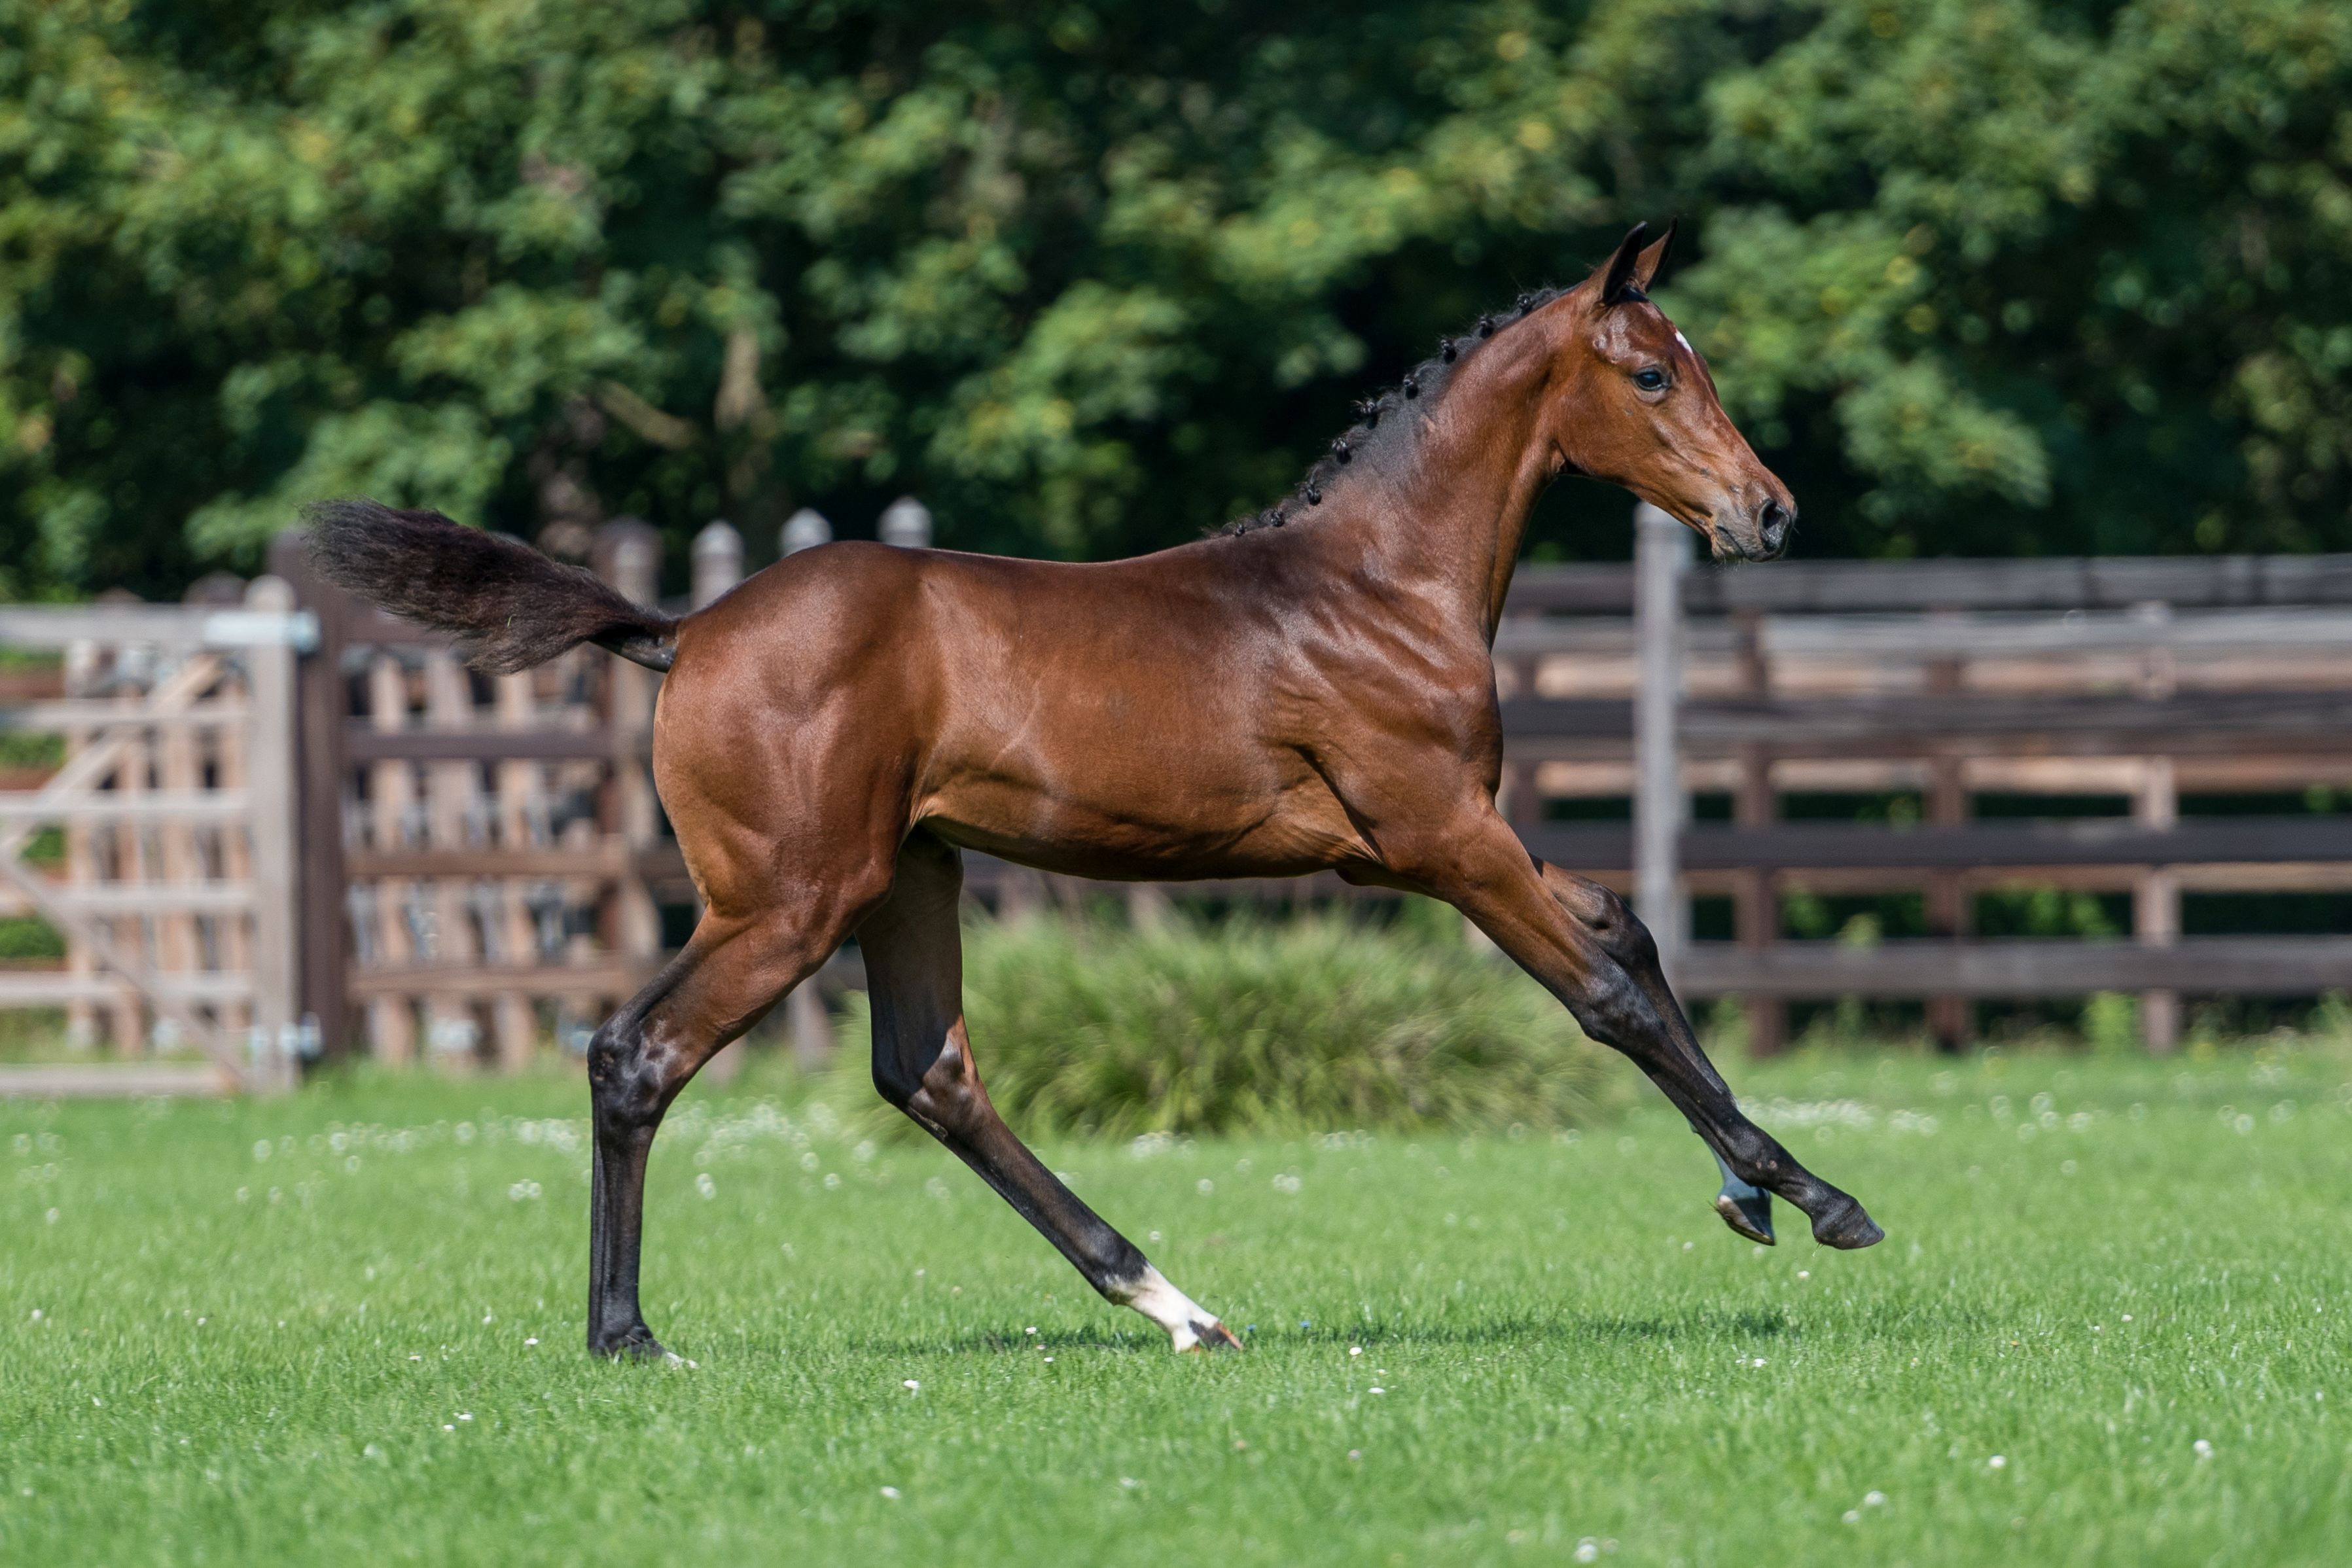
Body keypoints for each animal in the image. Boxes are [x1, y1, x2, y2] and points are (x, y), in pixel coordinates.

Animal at [312, 221, 1881, 1362]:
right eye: (1654, 375)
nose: (1769, 510)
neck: (1377, 585)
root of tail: (685, 630)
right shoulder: (1437, 835)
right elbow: (1602, 992)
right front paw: (1820, 1199)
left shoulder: (1426, 842)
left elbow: (1625, 927)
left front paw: (1749, 1194)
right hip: (787, 900)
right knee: (637, 1054)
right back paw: (626, 1335)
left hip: (908, 876)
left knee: (929, 1074)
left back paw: (1172, 1304)